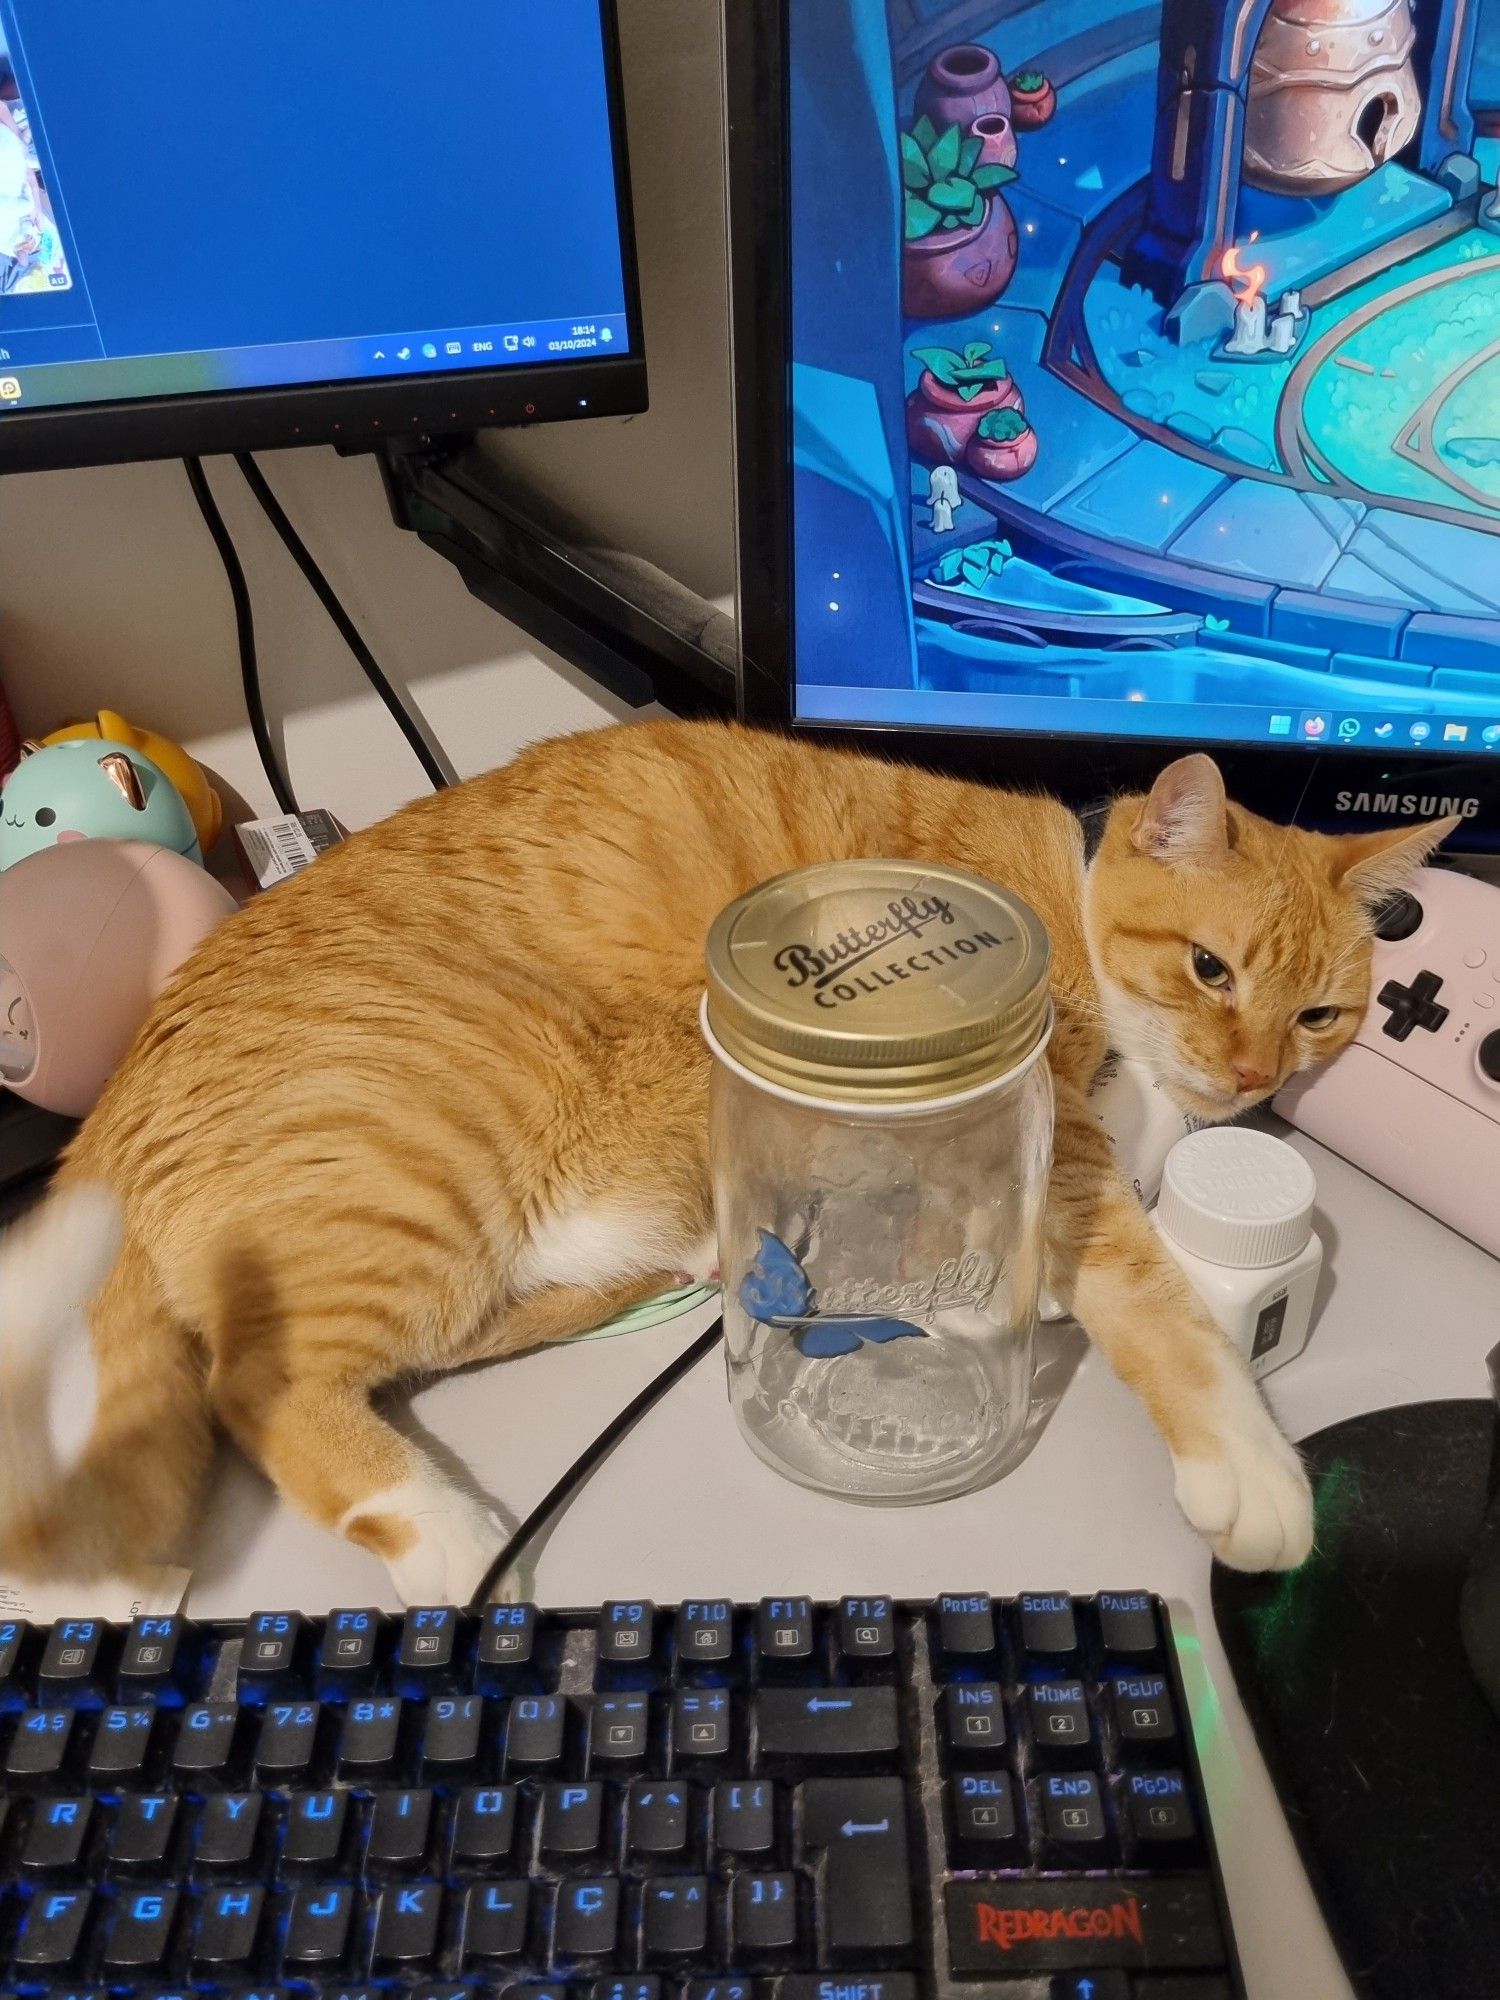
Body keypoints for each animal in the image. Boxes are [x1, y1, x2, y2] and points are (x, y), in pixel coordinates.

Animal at [0, 728, 1456, 1600]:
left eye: (1320, 1014)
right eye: (1211, 970)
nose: (1254, 1080)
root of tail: (112, 1104)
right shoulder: (1066, 1141)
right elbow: (1161, 1306)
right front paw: (1255, 1466)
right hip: (435, 1158)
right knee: (261, 1384)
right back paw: (448, 1535)